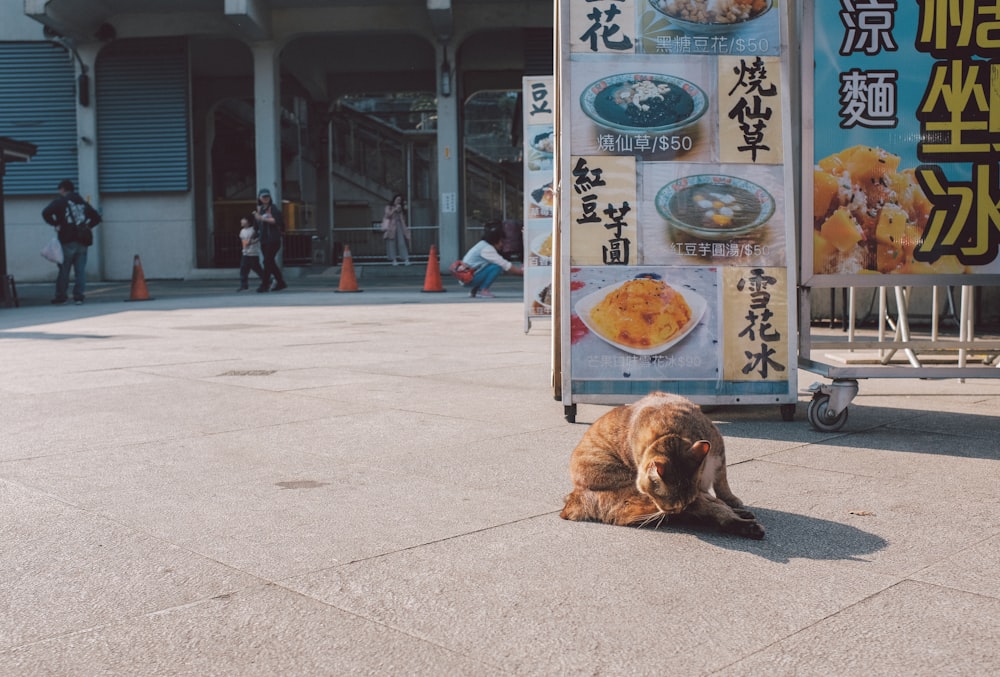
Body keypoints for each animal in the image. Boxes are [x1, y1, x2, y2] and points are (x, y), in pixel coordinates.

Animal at [560, 390, 760, 540]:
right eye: (672, 507)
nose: (675, 511)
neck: (670, 432)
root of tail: (573, 496)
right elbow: (714, 502)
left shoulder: (718, 452)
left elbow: (722, 483)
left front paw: (731, 500)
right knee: (708, 512)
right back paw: (745, 525)